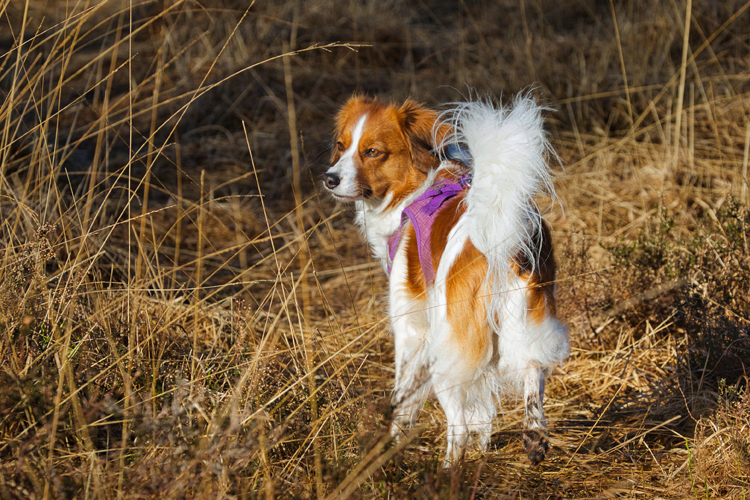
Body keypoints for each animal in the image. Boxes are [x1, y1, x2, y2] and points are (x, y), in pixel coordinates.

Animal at [322, 95, 568, 466]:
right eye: (341, 145)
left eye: (373, 151)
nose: (330, 179)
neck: (416, 189)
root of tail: (498, 239)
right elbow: (483, 412)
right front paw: (483, 449)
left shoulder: (411, 327)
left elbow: (404, 401)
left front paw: (393, 445)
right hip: (525, 321)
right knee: (532, 372)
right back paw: (534, 438)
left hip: (447, 343)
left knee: (458, 426)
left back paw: (446, 469)